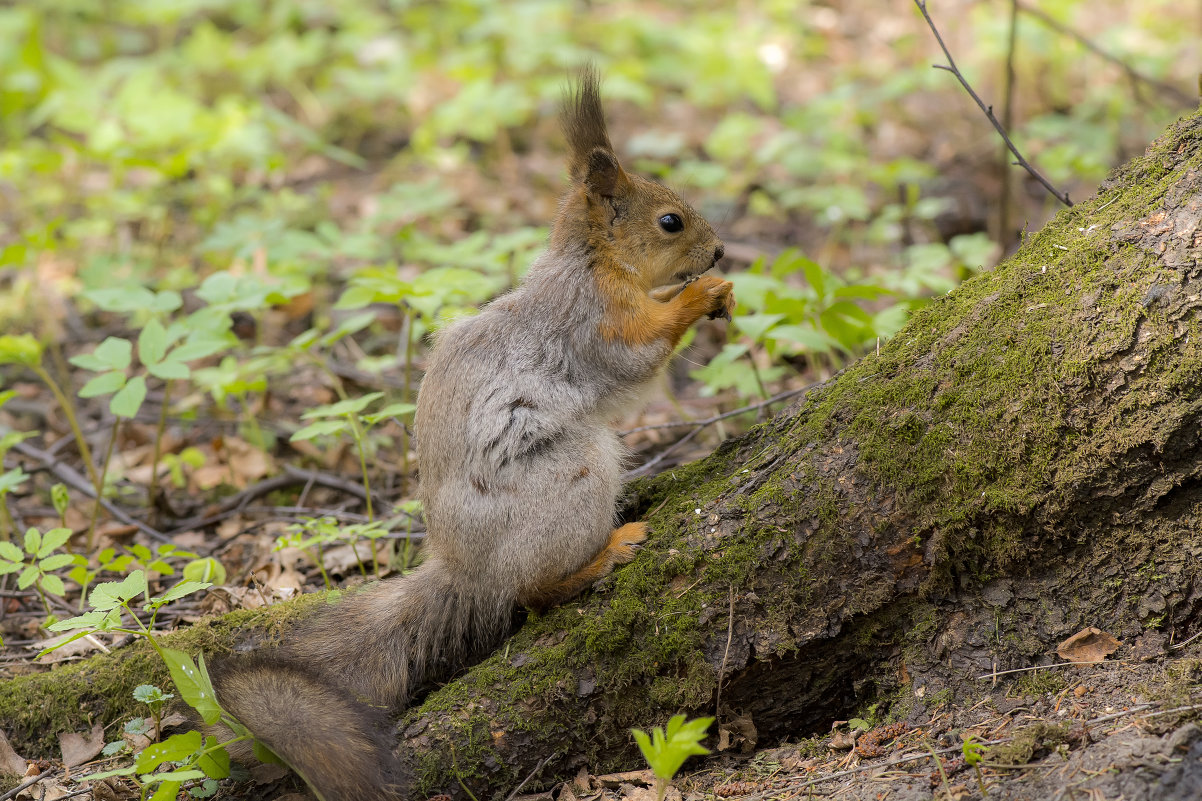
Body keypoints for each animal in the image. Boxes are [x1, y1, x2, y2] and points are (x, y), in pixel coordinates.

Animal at [209, 68, 730, 798]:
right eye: (670, 221)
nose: (720, 250)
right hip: (572, 478)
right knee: (534, 594)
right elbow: (640, 351)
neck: (596, 264)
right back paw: (607, 551)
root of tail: (467, 569)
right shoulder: (595, 322)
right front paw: (702, 293)